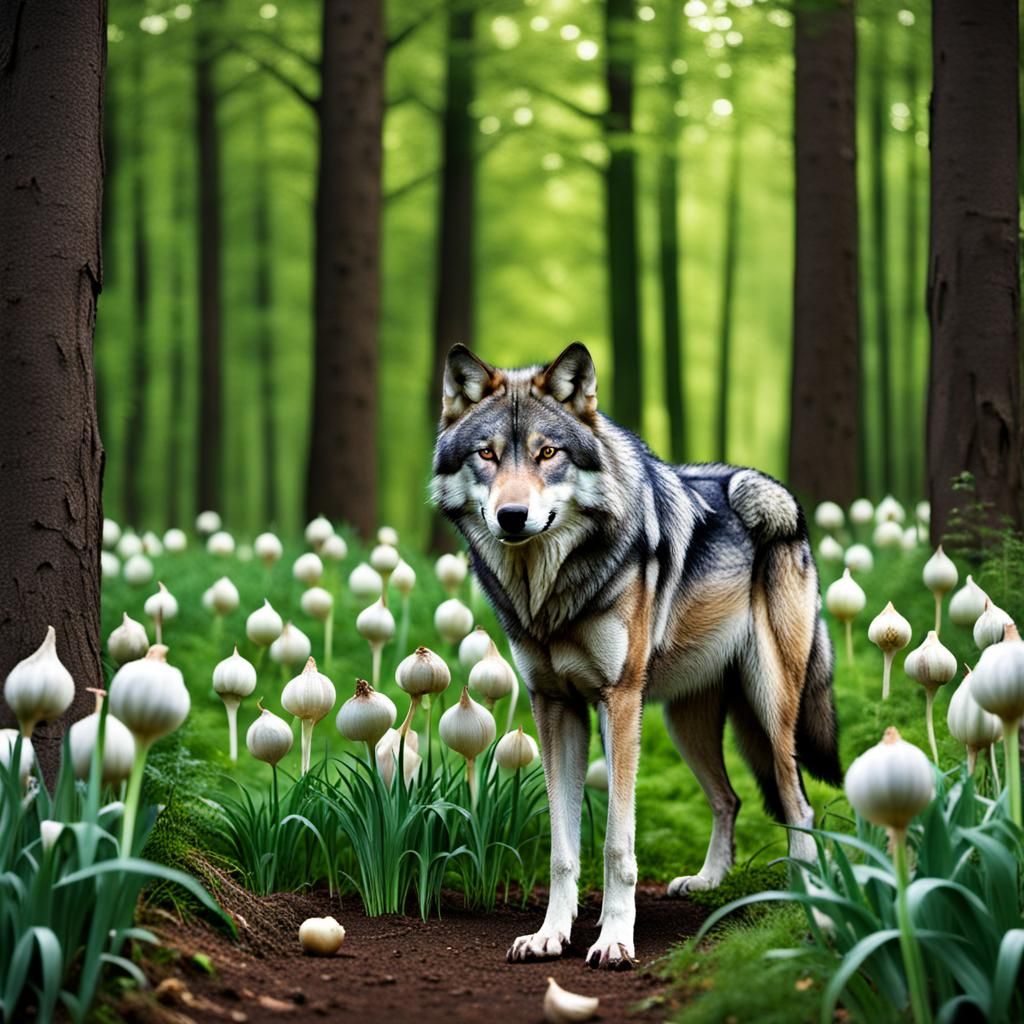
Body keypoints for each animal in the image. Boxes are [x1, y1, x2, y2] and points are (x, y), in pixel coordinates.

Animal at [431, 342, 842, 970]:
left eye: (547, 453)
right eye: (487, 454)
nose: (512, 516)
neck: (549, 591)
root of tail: (775, 497)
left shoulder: (619, 701)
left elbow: (616, 844)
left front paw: (615, 940)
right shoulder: (556, 707)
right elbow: (564, 849)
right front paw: (552, 934)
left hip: (771, 712)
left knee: (800, 809)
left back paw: (813, 906)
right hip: (683, 723)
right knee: (729, 799)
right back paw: (708, 882)